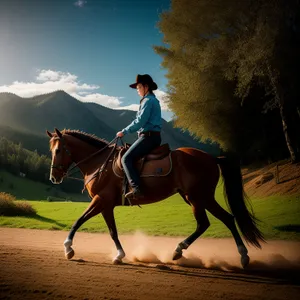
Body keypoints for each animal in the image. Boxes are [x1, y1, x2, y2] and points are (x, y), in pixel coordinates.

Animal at [45, 127, 264, 268]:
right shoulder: (106, 205)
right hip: (199, 197)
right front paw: (119, 255)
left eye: (58, 150)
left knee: (207, 222)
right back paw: (242, 256)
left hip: (197, 197)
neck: (100, 163)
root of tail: (211, 158)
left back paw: (179, 250)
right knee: (225, 219)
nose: (54, 177)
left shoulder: (101, 200)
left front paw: (68, 248)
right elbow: (111, 231)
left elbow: (80, 220)